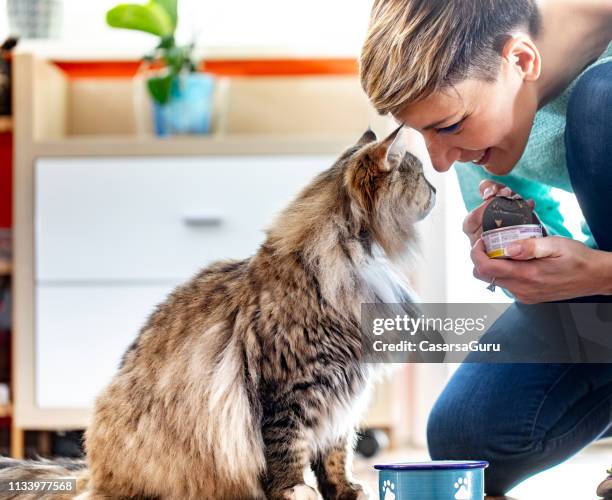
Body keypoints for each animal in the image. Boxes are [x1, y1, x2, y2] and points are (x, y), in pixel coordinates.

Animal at [0, 125, 436, 500]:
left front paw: (346, 491)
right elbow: (287, 450)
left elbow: (335, 455)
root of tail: (90, 470)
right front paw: (295, 490)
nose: (434, 188)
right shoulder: (290, 389)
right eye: (419, 176)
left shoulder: (341, 394)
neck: (355, 259)